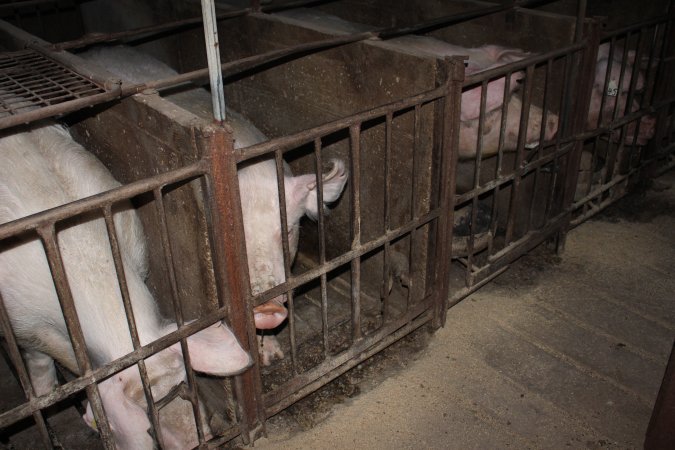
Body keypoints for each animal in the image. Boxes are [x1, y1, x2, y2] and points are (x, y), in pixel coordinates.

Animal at [0, 121, 252, 448]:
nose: (194, 440)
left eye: (182, 382)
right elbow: (38, 362)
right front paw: (45, 396)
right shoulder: (23, 326)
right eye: (146, 413)